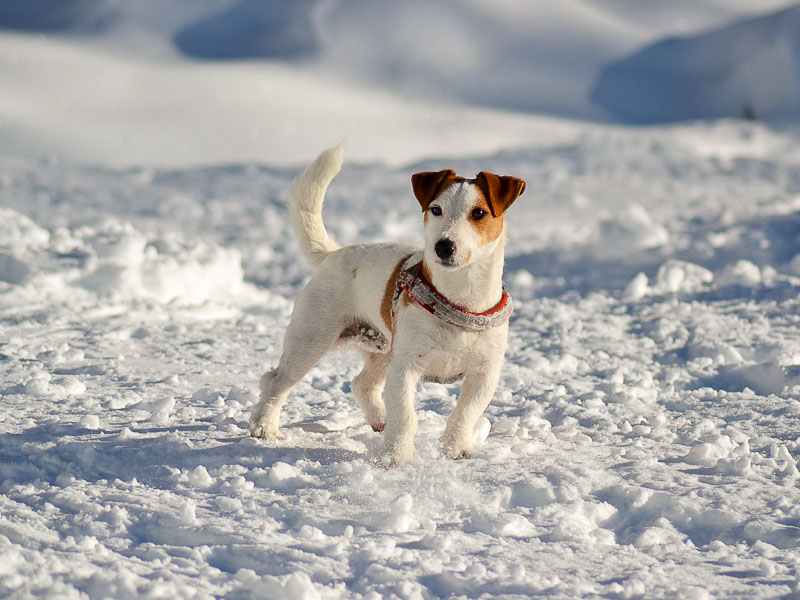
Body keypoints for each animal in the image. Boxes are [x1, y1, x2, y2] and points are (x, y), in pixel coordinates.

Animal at [250, 148, 524, 466]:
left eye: (478, 213)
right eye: (436, 210)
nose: (443, 246)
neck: (460, 296)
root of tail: (333, 254)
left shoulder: (485, 373)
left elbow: (465, 413)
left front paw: (455, 450)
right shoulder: (405, 367)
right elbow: (405, 415)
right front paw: (395, 457)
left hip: (382, 350)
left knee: (362, 383)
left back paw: (380, 419)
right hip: (311, 338)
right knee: (276, 380)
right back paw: (264, 427)